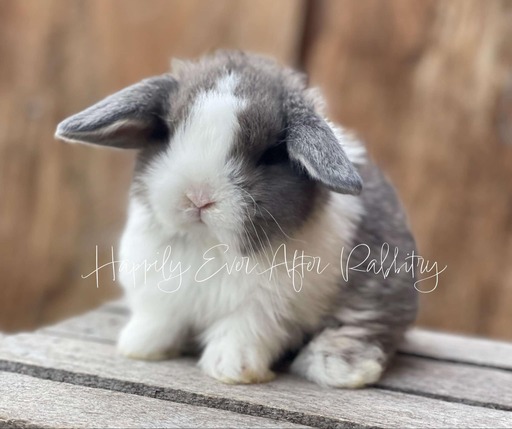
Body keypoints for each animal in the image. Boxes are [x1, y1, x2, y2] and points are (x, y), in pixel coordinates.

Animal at [56, 51, 418, 388]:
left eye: (270, 154)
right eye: (168, 134)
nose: (198, 197)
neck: (209, 245)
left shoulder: (264, 309)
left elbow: (240, 333)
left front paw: (231, 370)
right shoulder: (159, 294)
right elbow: (159, 320)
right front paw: (140, 347)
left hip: (380, 287)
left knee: (366, 326)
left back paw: (339, 367)